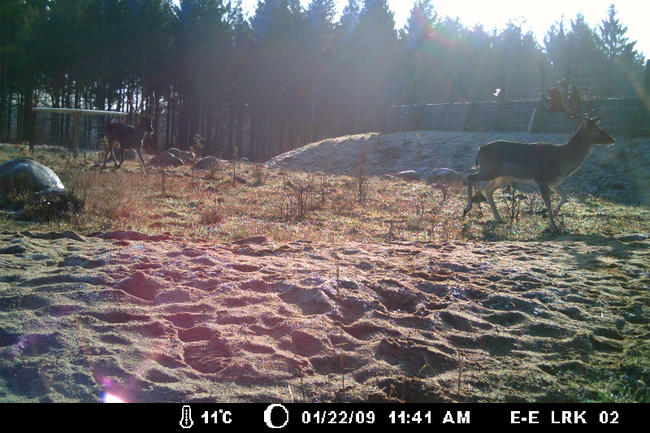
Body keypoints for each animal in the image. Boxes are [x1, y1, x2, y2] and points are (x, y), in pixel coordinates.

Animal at [460, 85, 612, 231]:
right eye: (595, 129)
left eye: (600, 126)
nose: (612, 139)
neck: (563, 160)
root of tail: (479, 149)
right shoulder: (541, 179)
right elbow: (548, 203)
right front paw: (553, 226)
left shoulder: (554, 182)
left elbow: (565, 197)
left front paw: (550, 215)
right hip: (489, 168)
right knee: (470, 177)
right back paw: (467, 209)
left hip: (502, 176)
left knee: (488, 189)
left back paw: (499, 218)